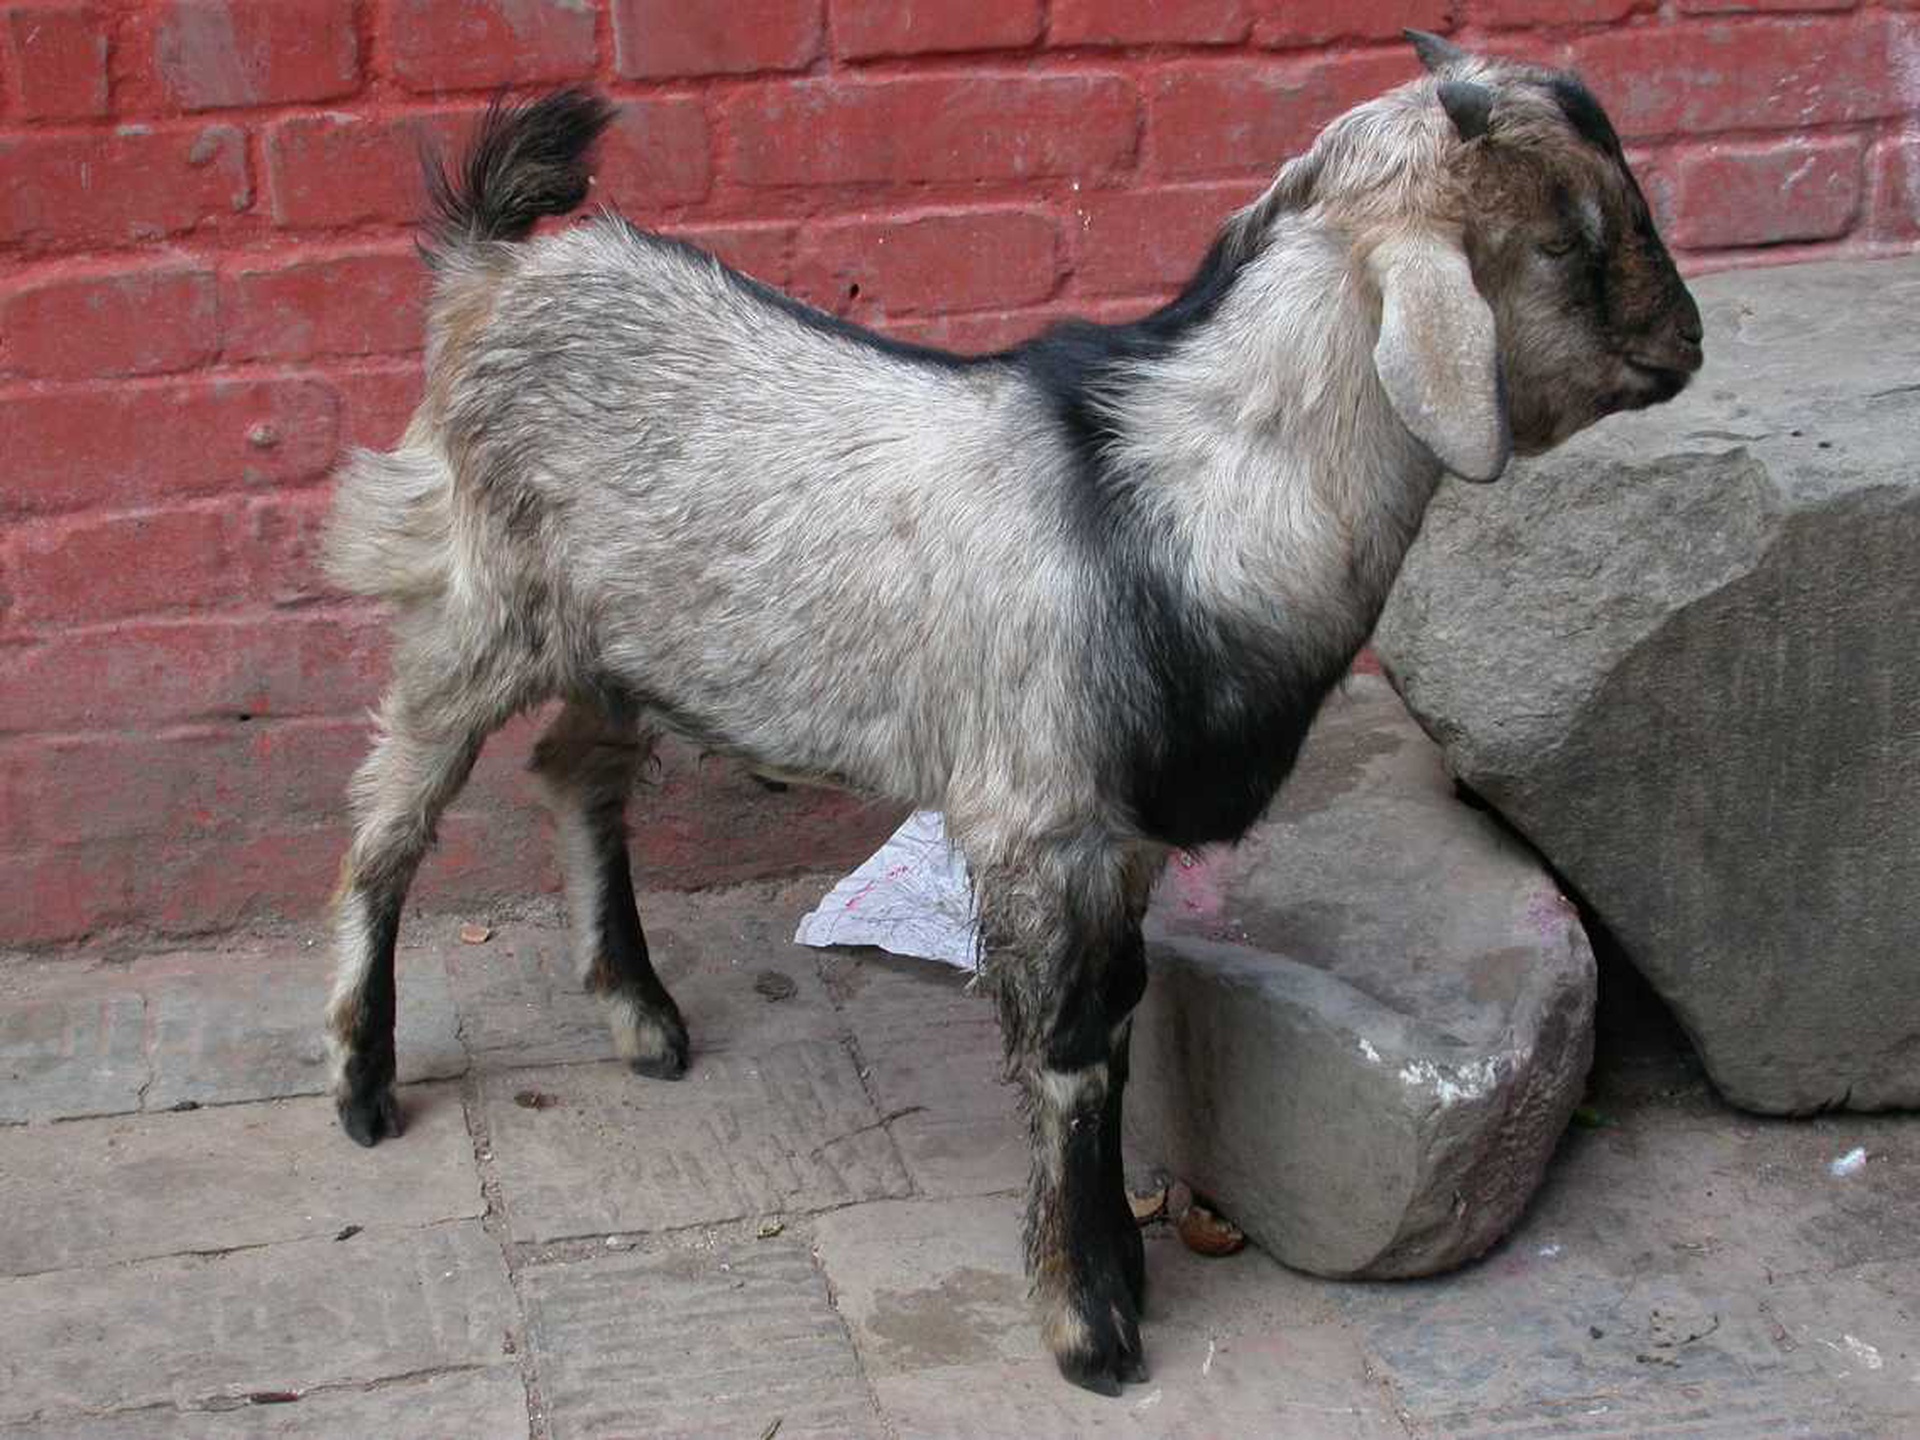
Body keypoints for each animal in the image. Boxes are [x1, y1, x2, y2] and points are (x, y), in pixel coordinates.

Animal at [320, 30, 1703, 1393]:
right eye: (1568, 240)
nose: (1688, 345)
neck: (1180, 502)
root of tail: (491, 272)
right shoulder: (1041, 822)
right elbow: (1073, 1054)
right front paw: (1089, 1324)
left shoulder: (1123, 833)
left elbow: (1128, 1014)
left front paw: (1120, 1268)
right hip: (472, 606)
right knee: (388, 819)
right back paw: (361, 1082)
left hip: (627, 648)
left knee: (573, 770)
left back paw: (639, 1016)